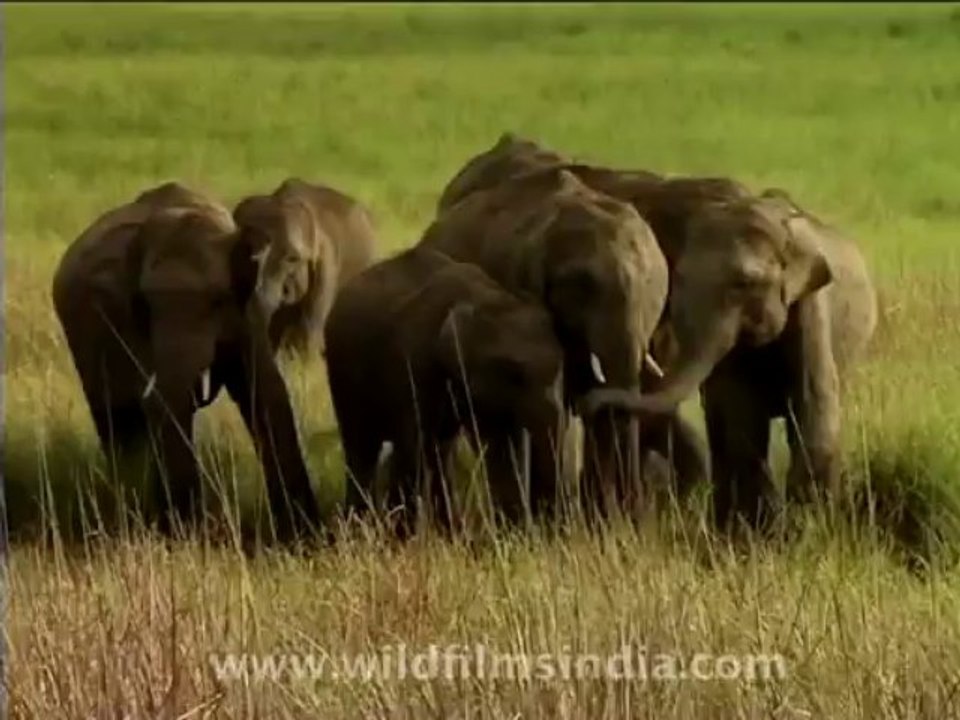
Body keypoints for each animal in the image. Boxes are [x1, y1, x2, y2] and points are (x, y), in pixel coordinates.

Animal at [52, 182, 320, 541]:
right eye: (145, 305)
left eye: (217, 300)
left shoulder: (248, 311)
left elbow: (267, 393)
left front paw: (303, 536)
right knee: (115, 417)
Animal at [324, 247, 566, 533]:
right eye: (512, 374)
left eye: (560, 368)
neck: (484, 298)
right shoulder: (415, 364)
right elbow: (419, 447)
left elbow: (500, 447)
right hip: (341, 374)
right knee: (363, 449)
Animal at [581, 188, 877, 531]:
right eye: (678, 280)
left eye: (744, 284)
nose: (588, 404)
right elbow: (742, 422)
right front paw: (758, 531)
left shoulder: (812, 310)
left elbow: (813, 410)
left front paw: (807, 530)